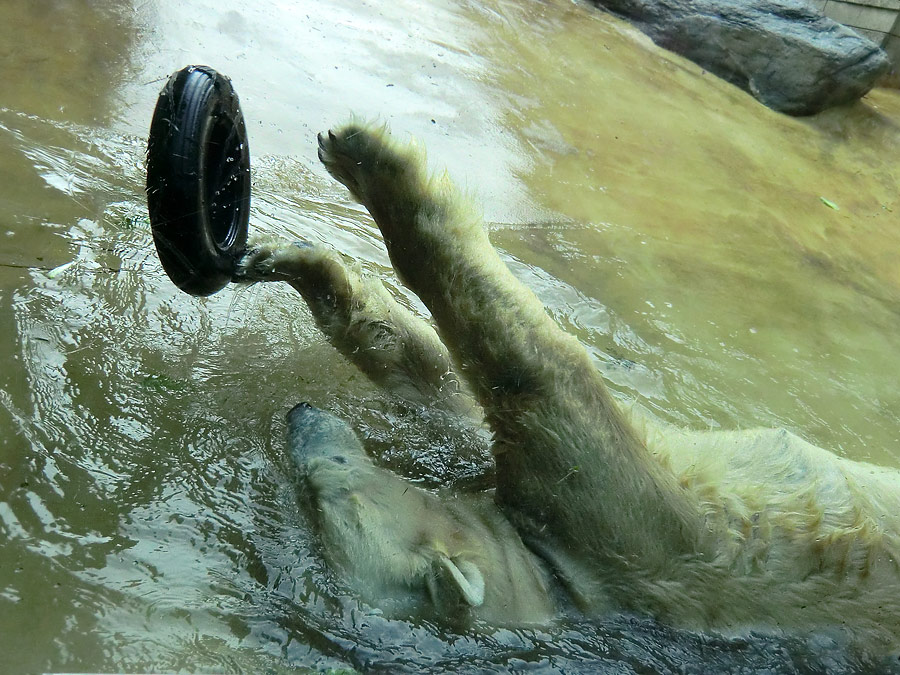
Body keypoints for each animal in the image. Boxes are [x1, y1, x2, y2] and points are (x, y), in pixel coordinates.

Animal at [237, 123, 900, 656]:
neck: (550, 570)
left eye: (325, 485)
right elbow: (474, 381)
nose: (300, 417)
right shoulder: (594, 510)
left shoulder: (614, 523)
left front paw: (356, 168)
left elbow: (502, 375)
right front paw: (312, 250)